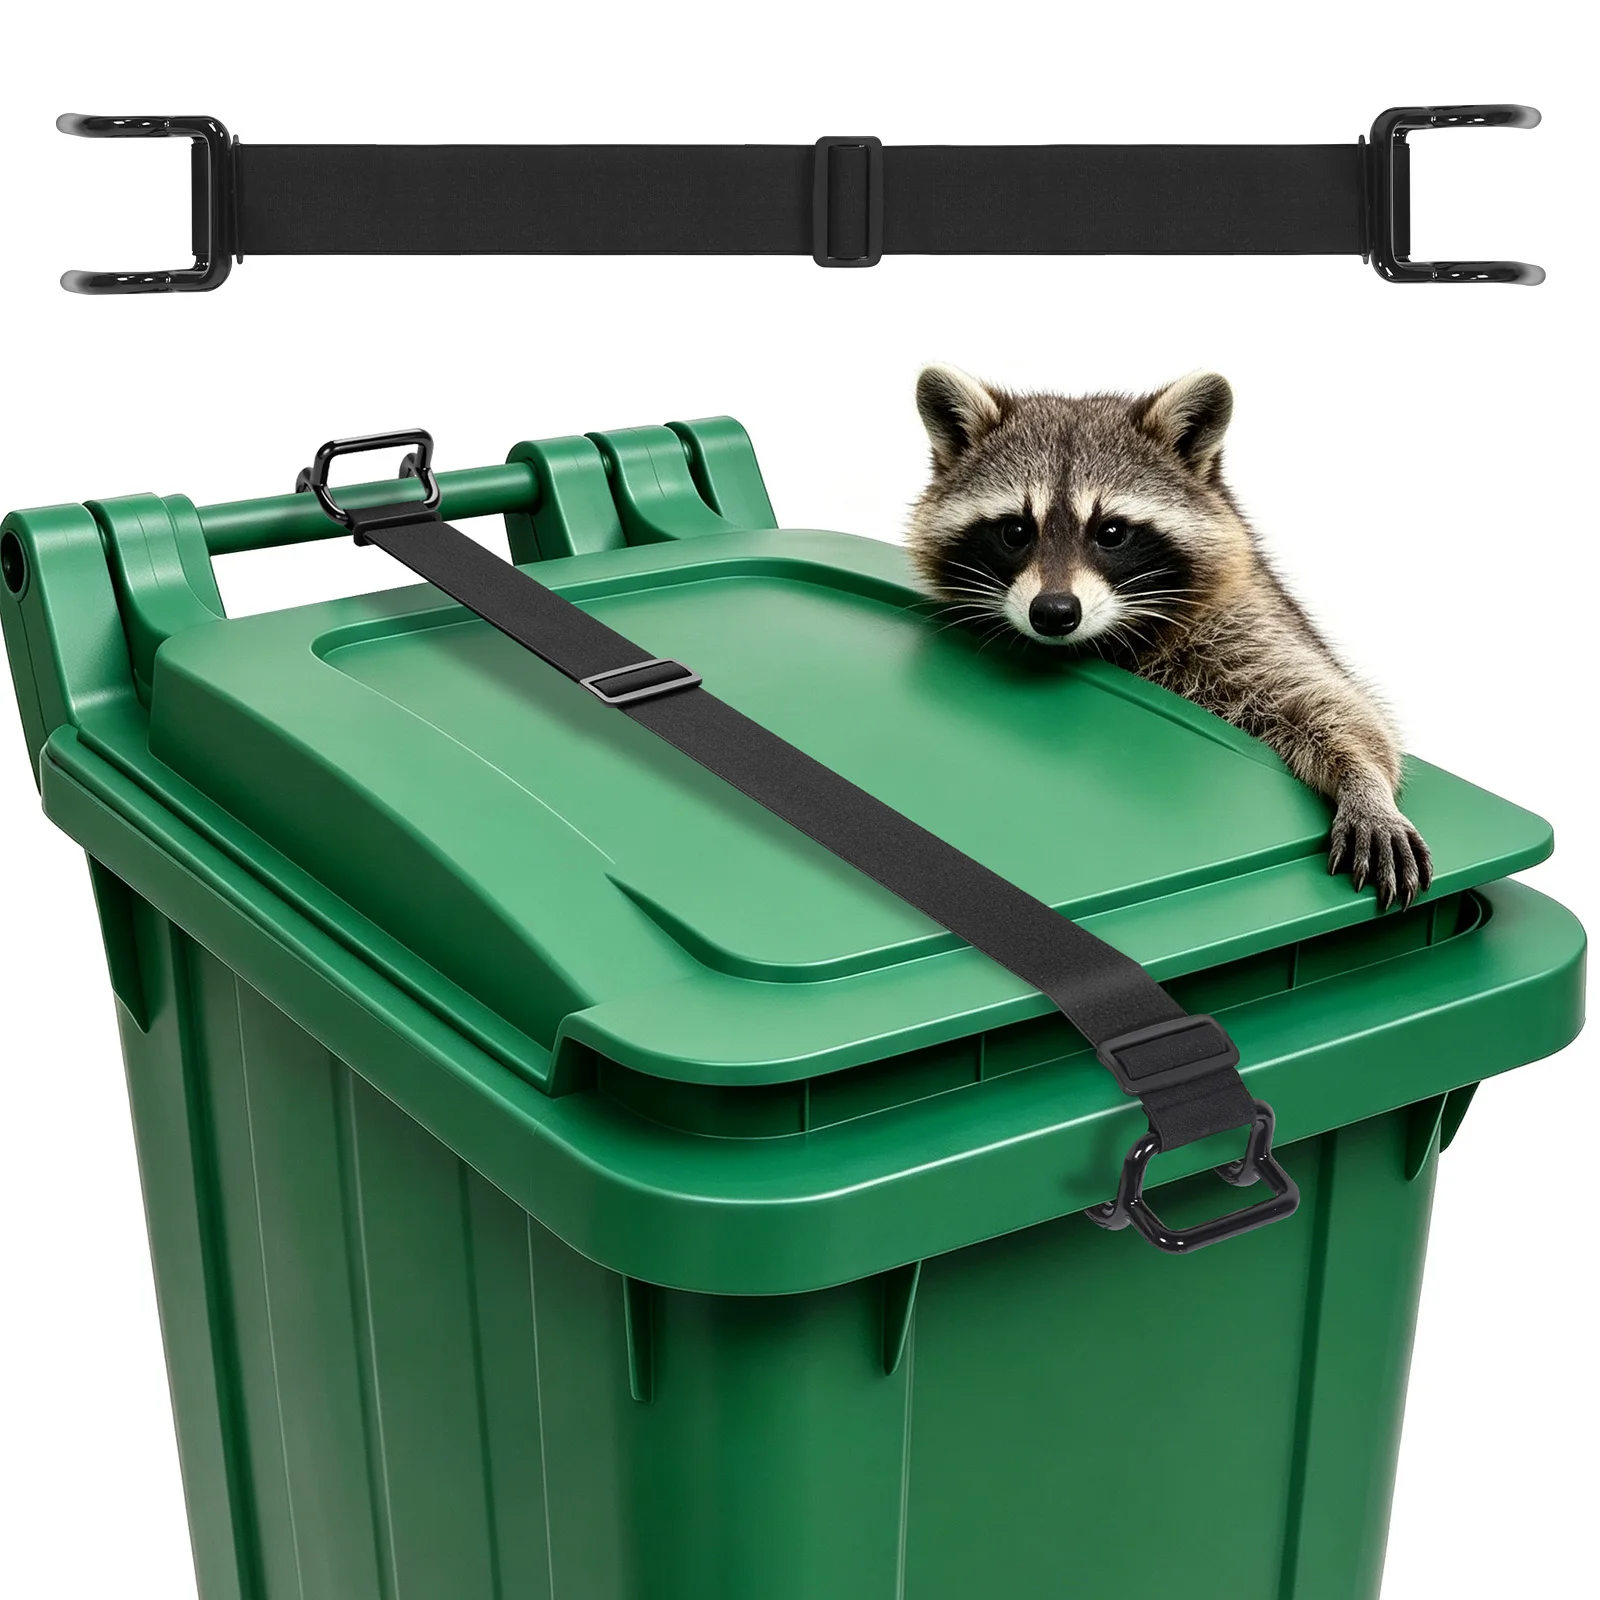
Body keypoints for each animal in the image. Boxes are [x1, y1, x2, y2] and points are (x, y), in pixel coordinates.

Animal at [907, 364, 1432, 912]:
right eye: (1015, 531)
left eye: (1111, 532)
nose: (1053, 612)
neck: (1104, 636)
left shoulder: (1246, 621)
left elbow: (1332, 704)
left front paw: (1365, 782)